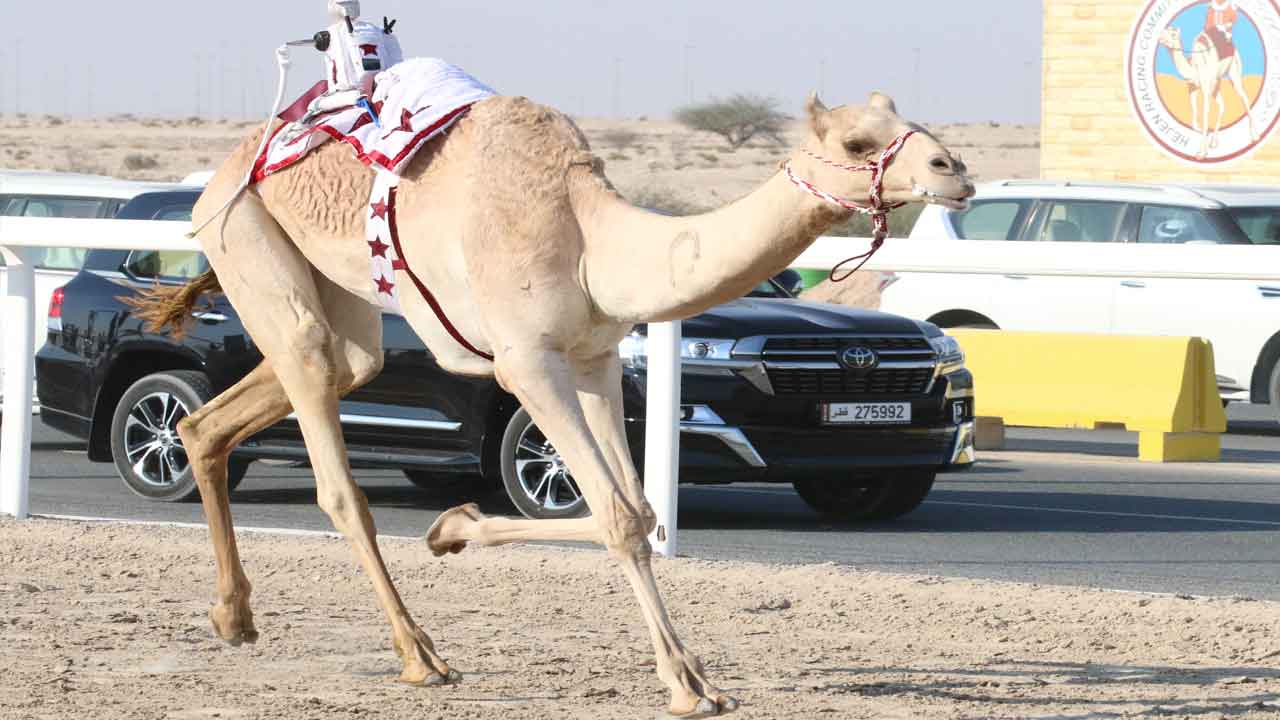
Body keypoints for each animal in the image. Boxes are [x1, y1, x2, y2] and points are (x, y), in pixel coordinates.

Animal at [134, 89, 973, 717]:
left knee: (239, 407)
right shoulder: (527, 362)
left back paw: (233, 616)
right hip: (243, 233)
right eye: (860, 142)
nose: (955, 170)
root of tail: (225, 170)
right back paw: (419, 655)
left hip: (339, 299)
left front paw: (452, 528)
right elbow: (614, 513)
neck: (590, 235)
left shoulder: (594, 356)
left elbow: (638, 509)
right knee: (333, 457)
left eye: (912, 125)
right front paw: (686, 685)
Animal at [1159, 25, 1258, 157]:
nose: (1160, 38)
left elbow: (1205, 115)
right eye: (1164, 31)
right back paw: (1214, 142)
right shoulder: (1192, 88)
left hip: (1234, 70)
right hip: (1217, 82)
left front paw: (1201, 153)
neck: (1194, 67)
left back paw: (1255, 136)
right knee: (1222, 105)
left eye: (1173, 34)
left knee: (1244, 97)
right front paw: (1204, 138)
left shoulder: (1206, 89)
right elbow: (1195, 119)